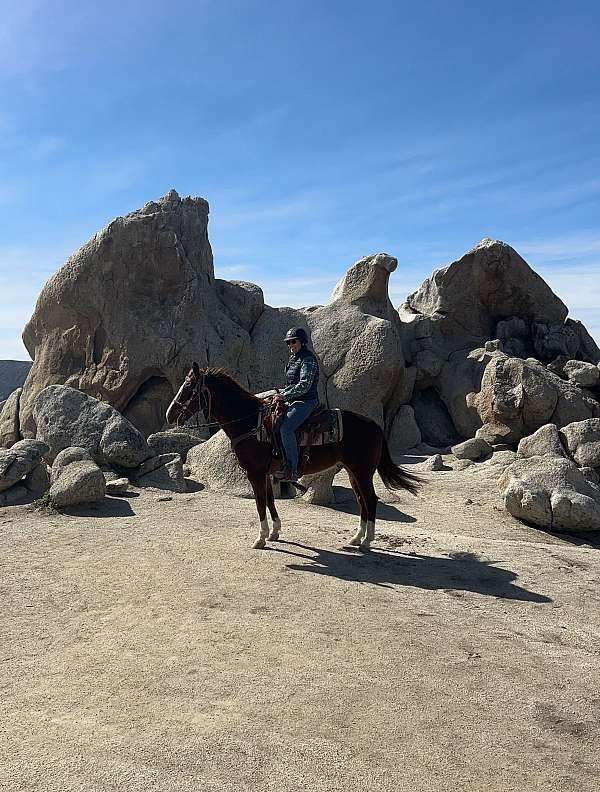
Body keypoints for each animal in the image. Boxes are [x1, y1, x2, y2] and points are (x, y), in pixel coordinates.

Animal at [165, 364, 422, 552]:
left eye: (189, 387)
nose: (169, 415)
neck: (251, 423)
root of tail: (375, 426)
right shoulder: (266, 473)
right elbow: (270, 501)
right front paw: (275, 532)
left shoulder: (255, 473)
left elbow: (260, 503)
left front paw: (260, 538)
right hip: (353, 472)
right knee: (362, 501)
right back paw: (356, 538)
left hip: (362, 472)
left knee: (370, 499)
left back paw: (367, 541)